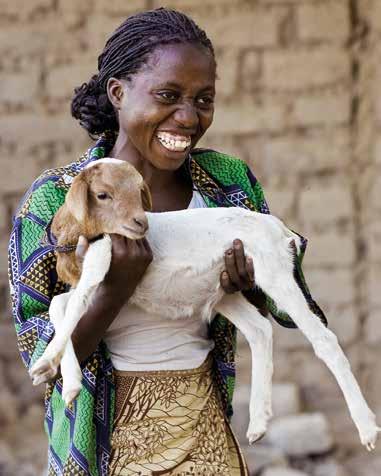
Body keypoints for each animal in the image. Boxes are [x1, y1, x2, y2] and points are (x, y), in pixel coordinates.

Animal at [30, 159, 380, 450]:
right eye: (102, 194)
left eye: (139, 192)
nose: (140, 224)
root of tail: (279, 229)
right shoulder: (96, 279)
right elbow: (59, 305)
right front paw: (68, 380)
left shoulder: (102, 262)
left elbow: (73, 307)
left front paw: (45, 363)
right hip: (226, 290)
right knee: (260, 330)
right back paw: (258, 420)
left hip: (274, 272)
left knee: (323, 338)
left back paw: (366, 428)